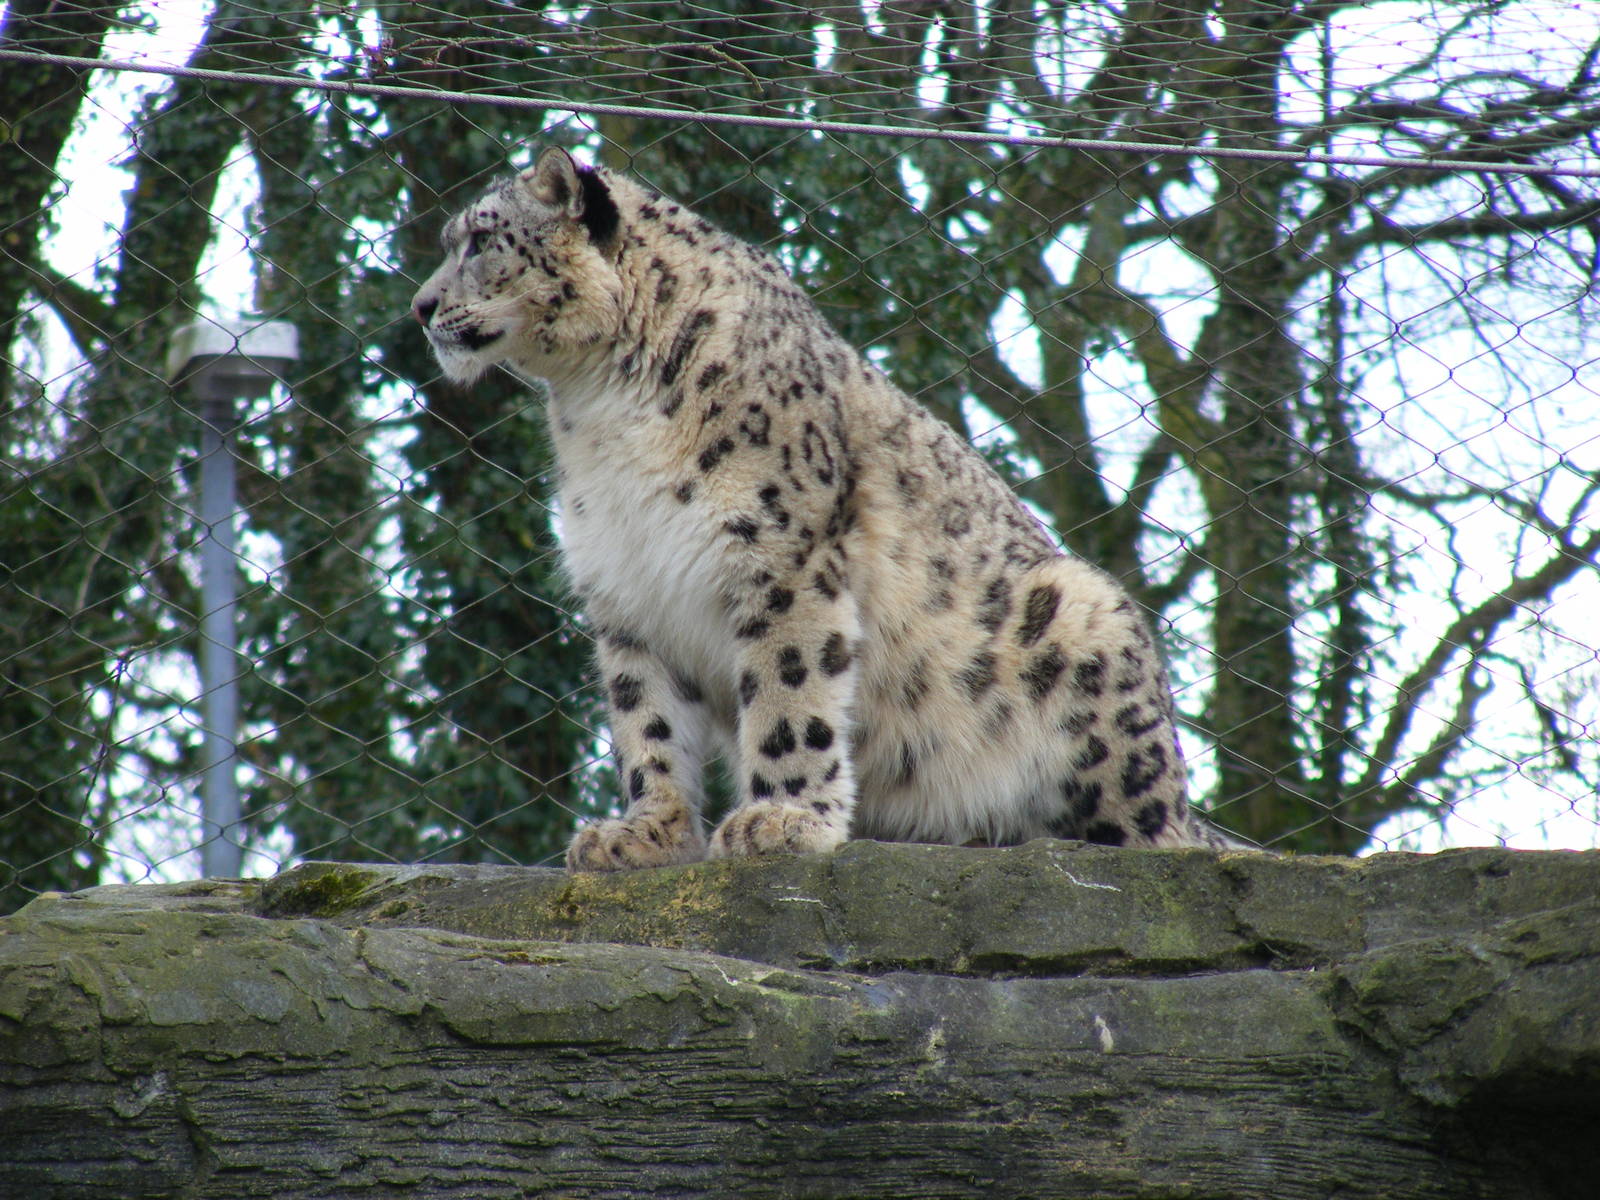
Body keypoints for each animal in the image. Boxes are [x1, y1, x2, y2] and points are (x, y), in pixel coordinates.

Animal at [411, 146, 1237, 871]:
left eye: (480, 240)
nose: (421, 306)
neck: (599, 400)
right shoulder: (625, 586)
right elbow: (647, 720)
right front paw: (647, 833)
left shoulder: (780, 553)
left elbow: (789, 684)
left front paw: (782, 819)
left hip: (1084, 622)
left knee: (1152, 827)